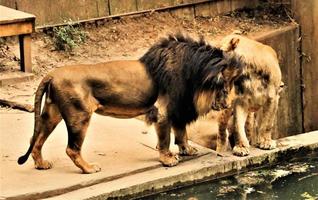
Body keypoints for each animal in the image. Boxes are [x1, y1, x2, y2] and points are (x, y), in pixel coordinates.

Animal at [18, 33, 243, 173]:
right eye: (226, 84)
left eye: (234, 82)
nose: (229, 103)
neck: (194, 77)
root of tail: (51, 74)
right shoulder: (163, 111)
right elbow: (165, 139)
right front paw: (168, 159)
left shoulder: (178, 108)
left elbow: (181, 133)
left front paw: (187, 150)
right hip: (79, 116)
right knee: (71, 149)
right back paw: (89, 169)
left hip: (52, 113)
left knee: (36, 140)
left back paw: (41, 164)